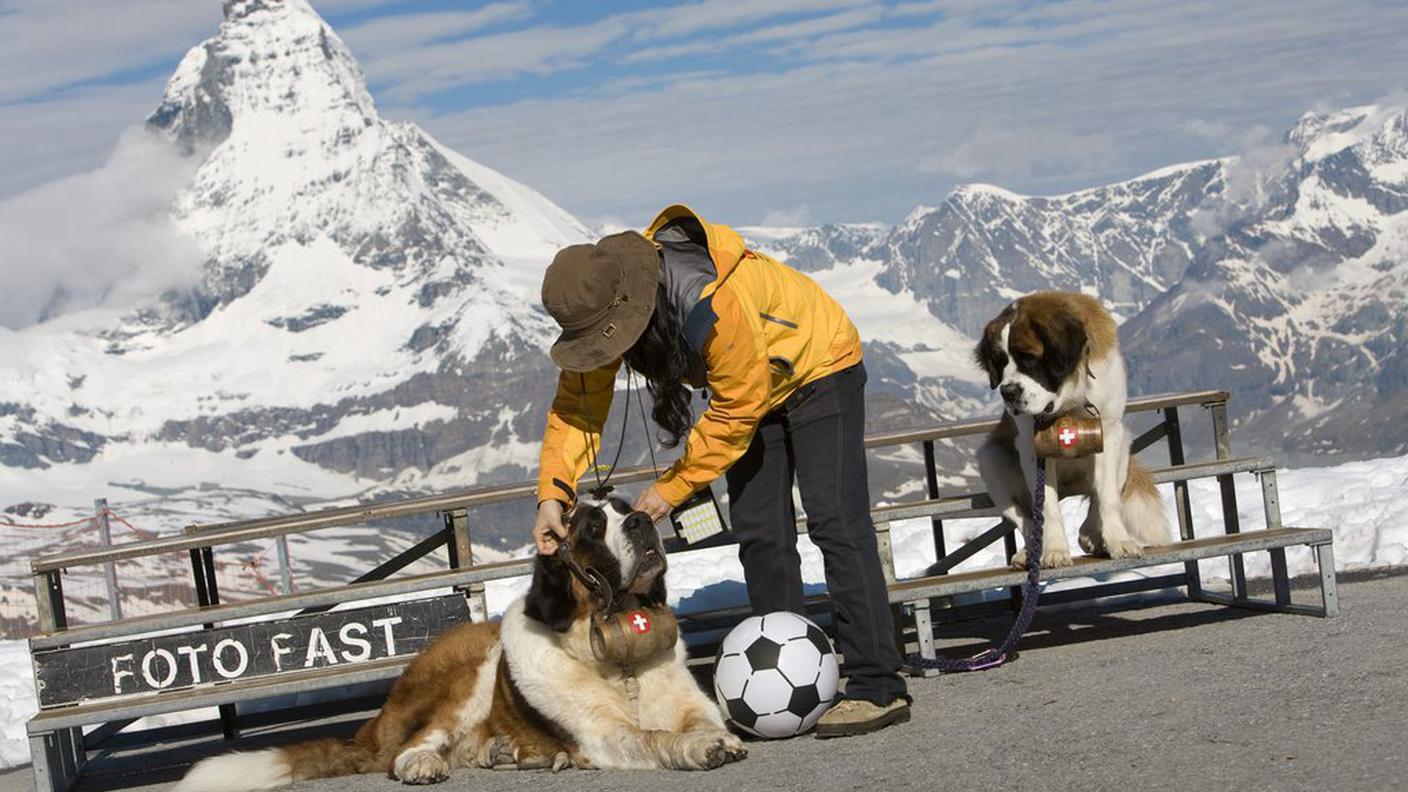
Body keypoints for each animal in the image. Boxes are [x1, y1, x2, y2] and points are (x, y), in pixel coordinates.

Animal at [173, 496, 749, 783]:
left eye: (627, 510)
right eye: (590, 527)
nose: (641, 521)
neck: (618, 663)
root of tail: (374, 726)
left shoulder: (686, 701)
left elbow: (698, 718)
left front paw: (711, 737)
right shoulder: (602, 735)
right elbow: (651, 737)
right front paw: (697, 748)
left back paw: (512, 753)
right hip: (468, 665)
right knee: (408, 750)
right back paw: (425, 764)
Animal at [974, 290, 1171, 566]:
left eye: (1029, 358)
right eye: (999, 363)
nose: (1008, 392)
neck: (1071, 396)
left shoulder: (1108, 431)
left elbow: (1107, 496)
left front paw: (1118, 542)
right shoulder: (1032, 448)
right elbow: (1046, 509)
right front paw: (1054, 551)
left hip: (1123, 444)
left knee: (1098, 496)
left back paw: (1092, 536)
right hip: (991, 459)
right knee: (1027, 518)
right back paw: (1030, 552)